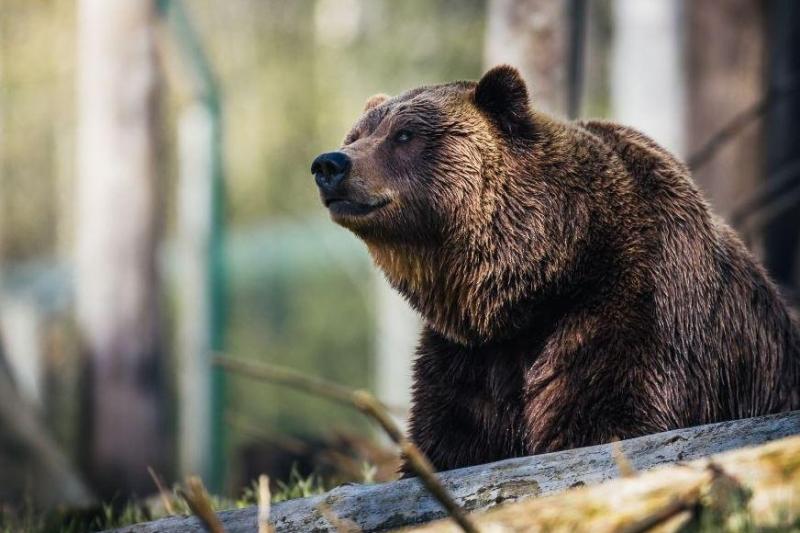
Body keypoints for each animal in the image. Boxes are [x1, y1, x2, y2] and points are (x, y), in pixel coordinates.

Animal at [308, 65, 800, 470]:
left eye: (405, 134)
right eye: (357, 134)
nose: (330, 163)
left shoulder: (634, 308)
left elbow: (609, 417)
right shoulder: (471, 357)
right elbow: (449, 438)